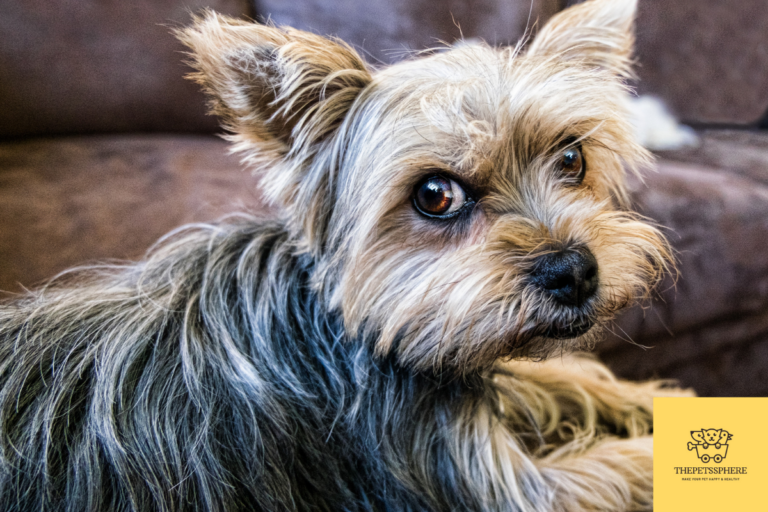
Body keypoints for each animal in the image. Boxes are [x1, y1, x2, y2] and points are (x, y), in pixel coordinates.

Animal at [0, 0, 684, 510]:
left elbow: (561, 377)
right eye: (435, 195)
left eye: (572, 158)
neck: (346, 324)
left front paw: (652, 400)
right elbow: (625, 469)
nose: (575, 272)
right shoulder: (468, 478)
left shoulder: (450, 351)